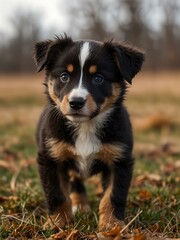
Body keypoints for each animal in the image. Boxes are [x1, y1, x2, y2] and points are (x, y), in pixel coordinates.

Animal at [33, 34, 145, 230]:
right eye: (64, 76)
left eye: (98, 78)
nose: (76, 102)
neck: (86, 126)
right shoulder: (50, 158)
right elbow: (56, 194)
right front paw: (58, 222)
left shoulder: (120, 159)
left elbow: (113, 195)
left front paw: (111, 225)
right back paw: (79, 204)